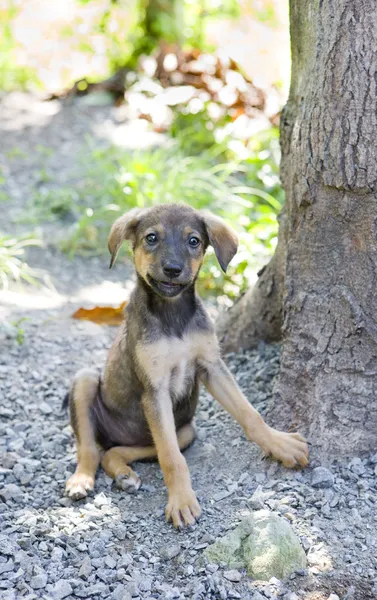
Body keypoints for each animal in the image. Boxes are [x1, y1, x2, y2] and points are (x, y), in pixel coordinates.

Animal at [65, 204, 308, 528]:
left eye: (193, 241)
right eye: (151, 238)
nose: (172, 269)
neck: (173, 313)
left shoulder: (212, 366)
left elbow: (250, 414)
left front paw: (280, 445)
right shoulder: (155, 390)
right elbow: (171, 457)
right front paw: (181, 501)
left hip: (185, 431)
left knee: (116, 451)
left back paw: (123, 473)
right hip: (86, 381)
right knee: (90, 449)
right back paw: (81, 480)